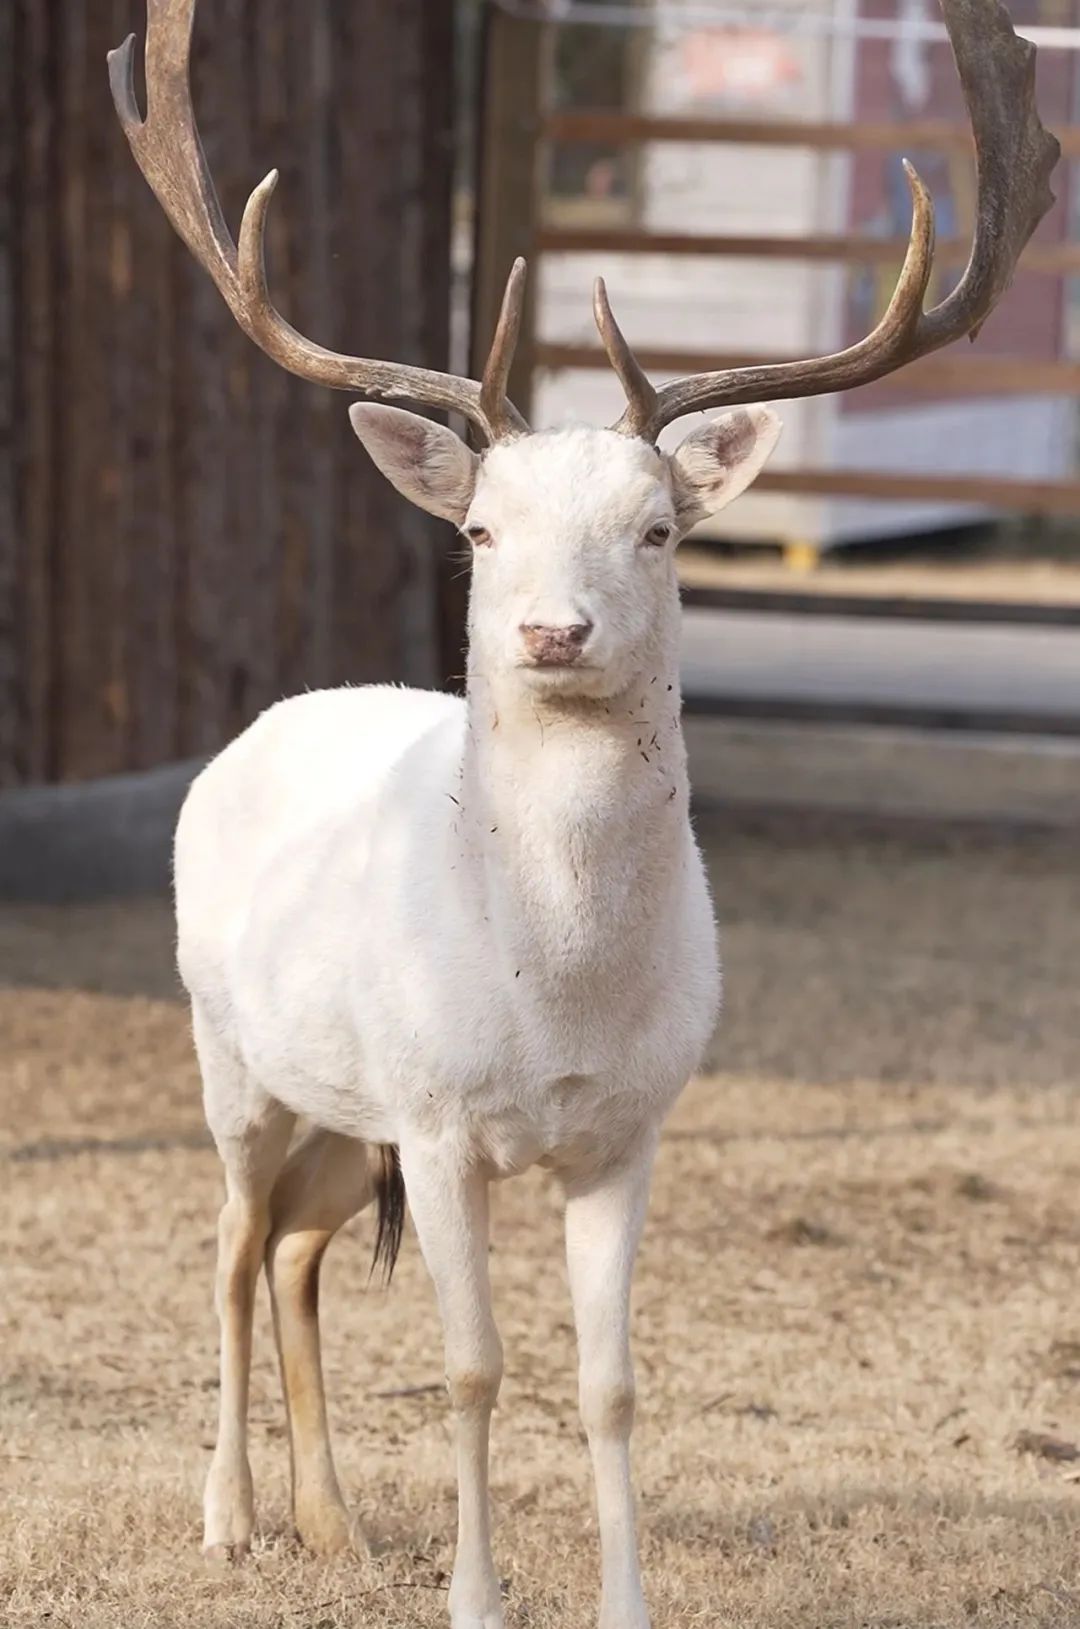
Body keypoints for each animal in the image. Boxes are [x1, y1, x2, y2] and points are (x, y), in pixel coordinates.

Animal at [108, 3, 1056, 1625]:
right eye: (483, 530)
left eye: (659, 530)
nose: (553, 632)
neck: (550, 995)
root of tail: (276, 715)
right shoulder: (435, 1122)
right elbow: (473, 1368)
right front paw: (476, 1599)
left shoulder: (633, 1125)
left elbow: (612, 1384)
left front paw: (624, 1600)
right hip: (229, 1047)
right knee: (229, 1240)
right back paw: (231, 1516)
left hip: (336, 1099)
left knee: (292, 1249)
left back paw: (335, 1523)